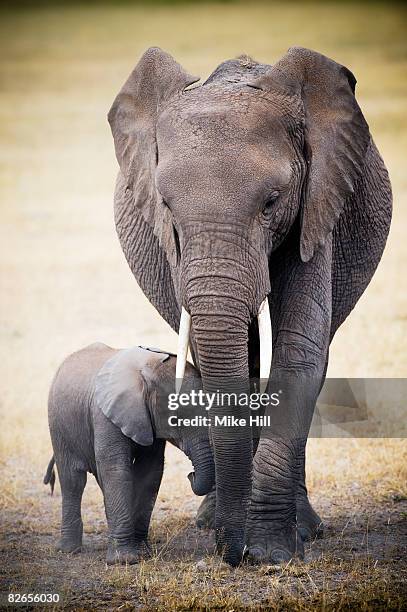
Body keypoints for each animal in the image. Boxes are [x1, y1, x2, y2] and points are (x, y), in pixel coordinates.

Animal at [45, 342, 215, 568]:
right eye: (176, 419)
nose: (191, 475)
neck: (147, 370)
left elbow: (150, 472)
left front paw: (142, 553)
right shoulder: (104, 415)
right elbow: (116, 470)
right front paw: (123, 560)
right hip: (58, 425)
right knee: (73, 480)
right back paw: (69, 550)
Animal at [107, 46, 392, 564]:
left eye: (272, 202)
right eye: (166, 206)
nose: (229, 551)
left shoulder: (316, 206)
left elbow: (299, 351)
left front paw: (271, 553)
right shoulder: (174, 249)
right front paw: (241, 539)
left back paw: (305, 529)